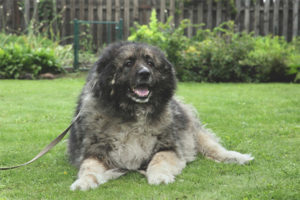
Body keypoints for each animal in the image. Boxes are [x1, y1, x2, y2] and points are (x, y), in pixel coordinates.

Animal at [68, 41, 253, 191]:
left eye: (150, 63)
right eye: (128, 63)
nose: (145, 73)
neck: (132, 114)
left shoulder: (168, 147)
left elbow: (159, 160)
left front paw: (159, 176)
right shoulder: (95, 153)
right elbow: (88, 168)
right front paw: (84, 182)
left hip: (193, 134)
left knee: (214, 149)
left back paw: (238, 157)